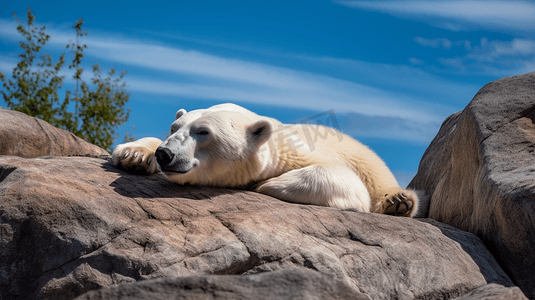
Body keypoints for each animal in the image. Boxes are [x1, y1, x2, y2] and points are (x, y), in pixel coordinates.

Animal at [113, 104, 422, 217]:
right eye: (174, 128)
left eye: (203, 132)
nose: (166, 154)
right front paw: (135, 155)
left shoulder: (301, 153)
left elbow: (347, 182)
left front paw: (264, 184)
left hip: (370, 162)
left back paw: (398, 202)